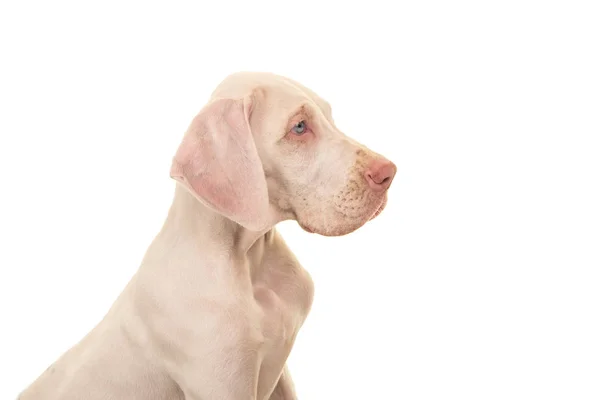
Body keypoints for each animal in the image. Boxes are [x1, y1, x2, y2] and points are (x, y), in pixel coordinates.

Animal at [21, 72, 398, 400]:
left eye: (330, 118)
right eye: (300, 127)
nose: (389, 173)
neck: (249, 260)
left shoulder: (281, 373)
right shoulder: (222, 384)